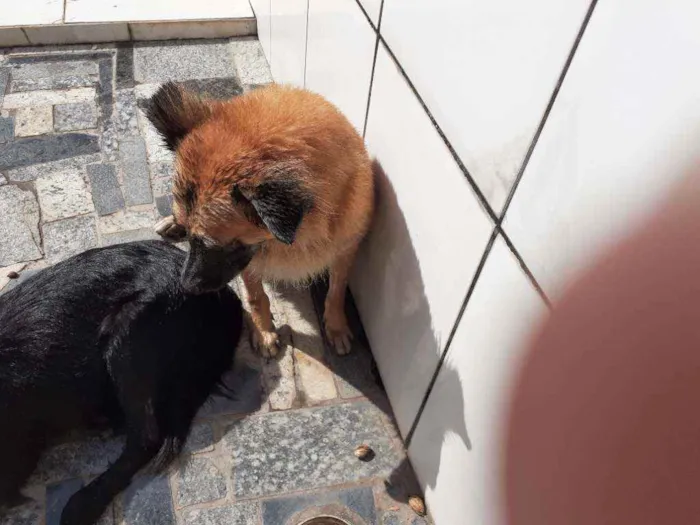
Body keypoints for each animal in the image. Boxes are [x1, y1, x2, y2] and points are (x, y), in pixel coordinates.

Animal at [146, 83, 372, 356]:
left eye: (211, 244)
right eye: (192, 240)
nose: (185, 286)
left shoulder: (346, 249)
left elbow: (337, 291)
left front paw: (336, 326)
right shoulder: (249, 260)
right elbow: (256, 297)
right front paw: (264, 331)